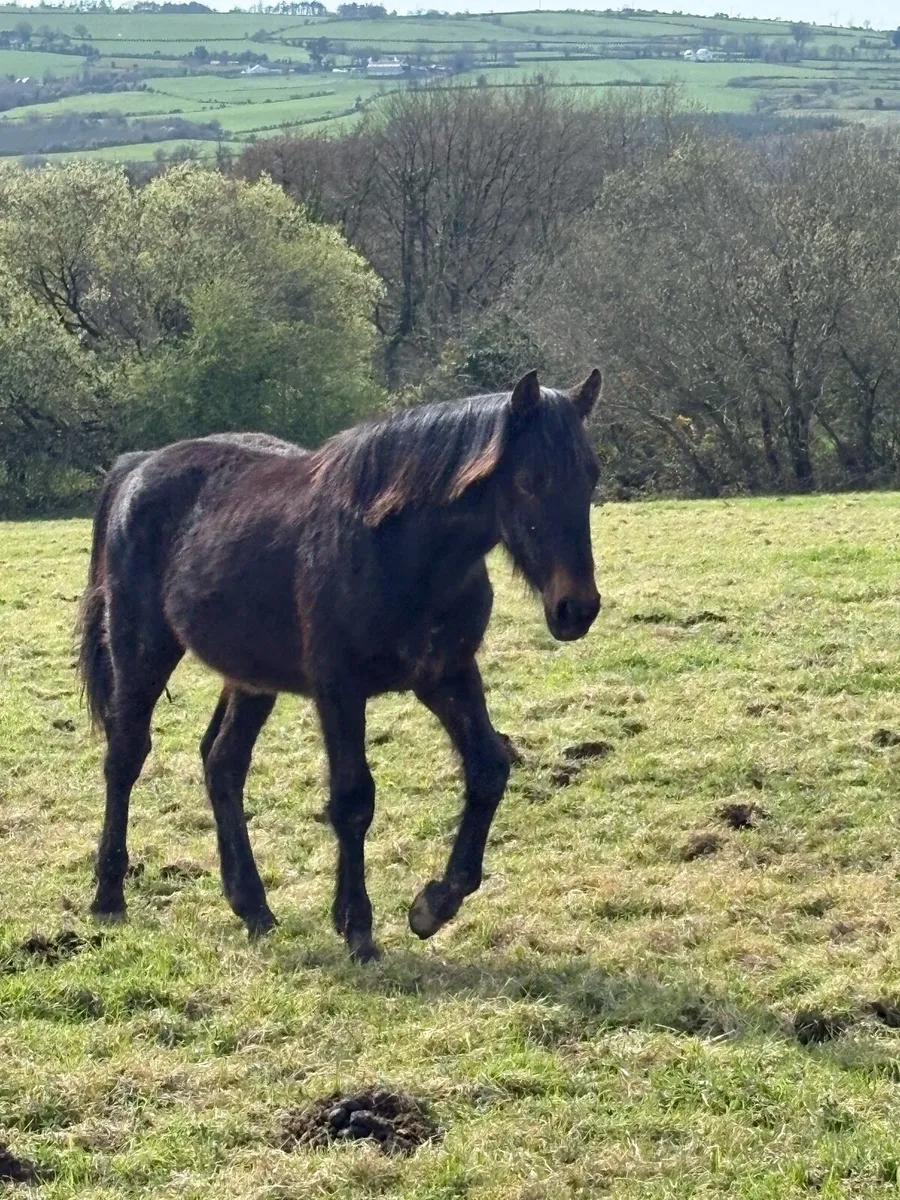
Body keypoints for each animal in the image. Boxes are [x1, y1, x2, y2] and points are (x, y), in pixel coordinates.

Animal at [77, 370, 602, 961]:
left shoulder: (448, 675)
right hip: (143, 651)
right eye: (532, 480)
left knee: (222, 763)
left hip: (252, 677)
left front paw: (433, 905)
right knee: (125, 757)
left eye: (591, 477)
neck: (401, 550)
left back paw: (253, 908)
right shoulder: (339, 689)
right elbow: (353, 800)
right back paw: (108, 896)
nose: (576, 608)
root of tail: (138, 466)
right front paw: (358, 927)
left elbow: (488, 768)